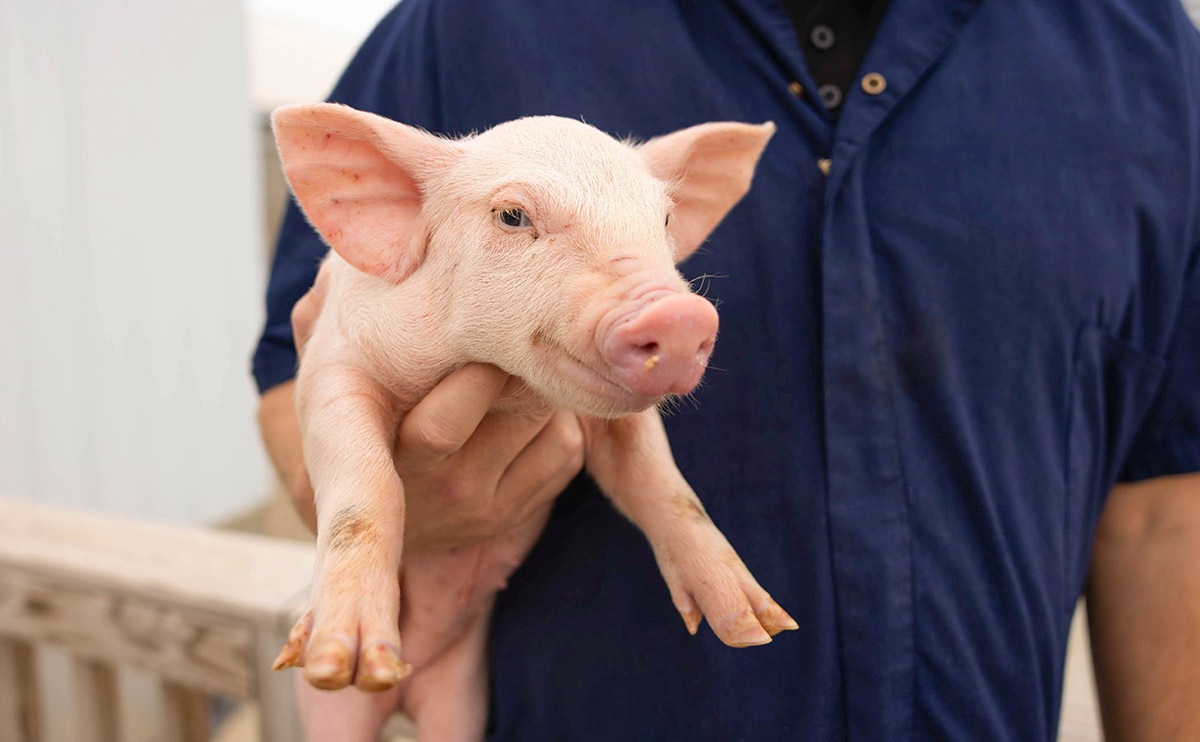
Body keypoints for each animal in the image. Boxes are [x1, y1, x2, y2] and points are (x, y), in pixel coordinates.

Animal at [267, 103, 795, 741]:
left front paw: (760, 627)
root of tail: (407, 692)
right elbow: (365, 494)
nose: (678, 315)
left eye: (664, 218)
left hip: (462, 694)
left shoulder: (620, 425)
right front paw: (345, 658)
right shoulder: (333, 361)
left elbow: (666, 488)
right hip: (329, 712)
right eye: (513, 215)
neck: (506, 389)